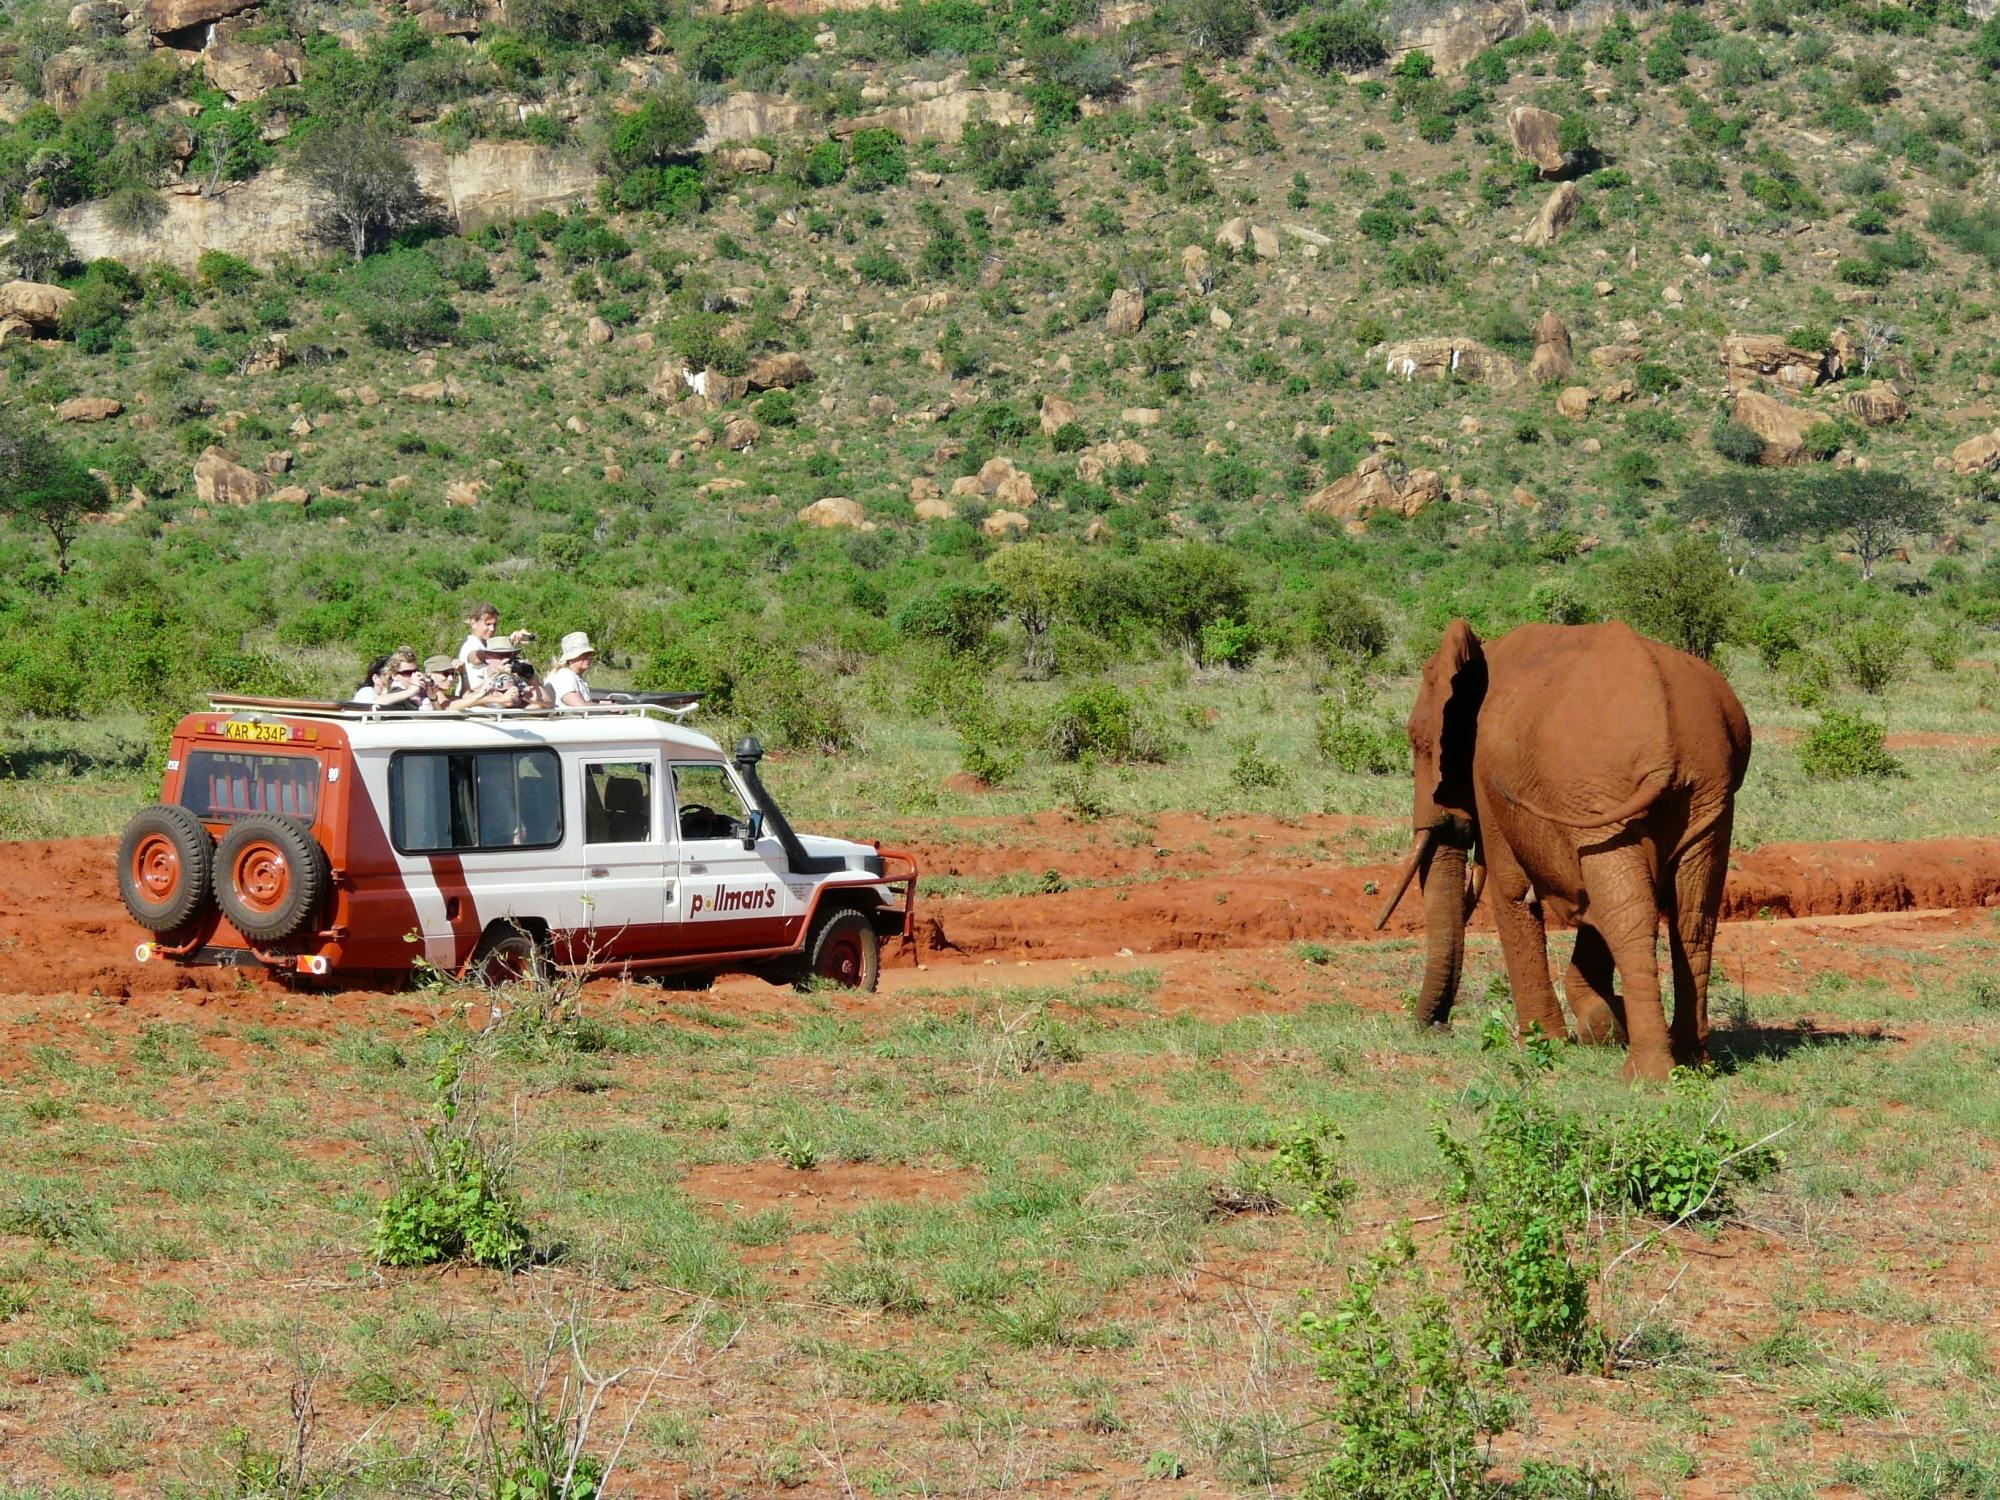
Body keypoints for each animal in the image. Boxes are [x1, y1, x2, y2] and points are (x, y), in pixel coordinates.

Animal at [1376, 620, 1752, 1080]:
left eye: (1420, 744)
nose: (1439, 1029)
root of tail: (1665, 742)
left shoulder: (1491, 780)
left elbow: (1511, 891)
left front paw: (1541, 1043)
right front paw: (1602, 1023)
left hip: (1602, 794)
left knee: (1631, 917)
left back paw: (1647, 1075)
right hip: (1706, 795)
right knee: (1692, 917)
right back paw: (1693, 1064)